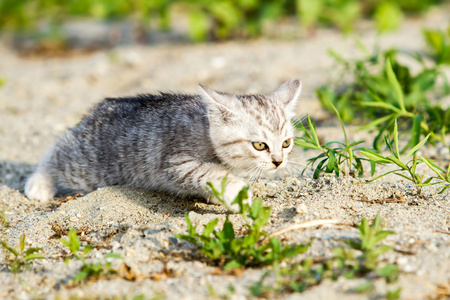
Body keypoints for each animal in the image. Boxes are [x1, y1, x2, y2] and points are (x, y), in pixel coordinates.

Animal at [22, 81, 300, 210]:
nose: (279, 162)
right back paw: (38, 183)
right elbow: (211, 172)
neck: (206, 129)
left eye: (286, 143)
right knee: (59, 147)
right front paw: (237, 192)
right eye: (260, 145)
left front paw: (217, 195)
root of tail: (97, 111)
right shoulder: (176, 162)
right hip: (87, 167)